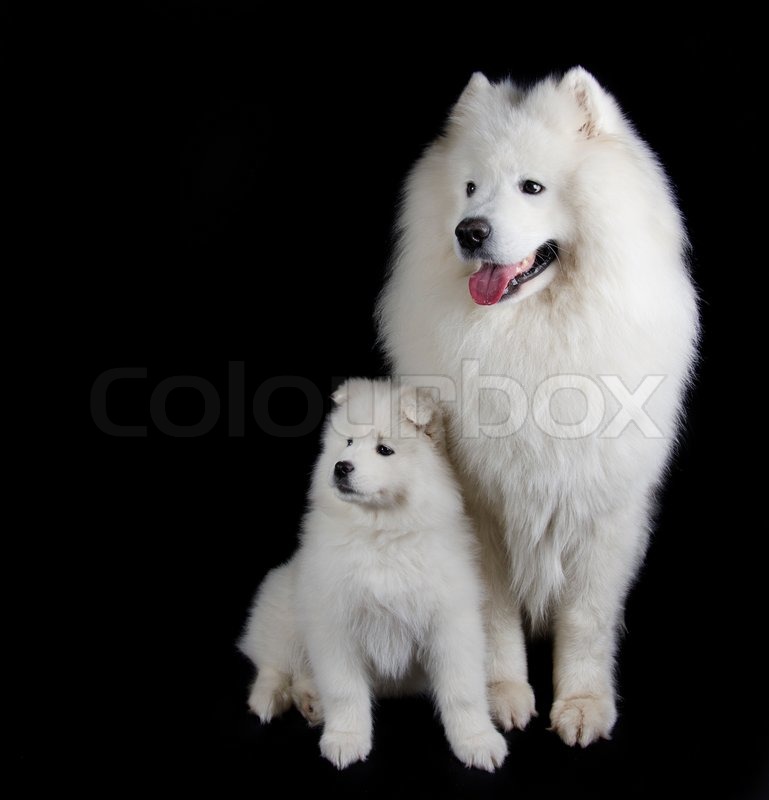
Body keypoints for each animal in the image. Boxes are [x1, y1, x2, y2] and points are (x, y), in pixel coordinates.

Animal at [237, 378, 508, 772]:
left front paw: (478, 741)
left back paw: (310, 701)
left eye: (384, 449)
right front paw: (346, 739)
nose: (341, 467)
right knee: (274, 662)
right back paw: (269, 699)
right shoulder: (335, 623)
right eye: (349, 442)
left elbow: (463, 691)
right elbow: (344, 689)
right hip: (284, 608)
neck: (381, 535)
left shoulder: (451, 624)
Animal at [378, 69, 696, 752]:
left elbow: (587, 620)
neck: (532, 338)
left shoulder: (603, 508)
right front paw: (502, 697)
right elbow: (493, 618)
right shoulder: (482, 510)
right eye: (471, 187)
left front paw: (582, 705)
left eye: (532, 187)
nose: (469, 231)